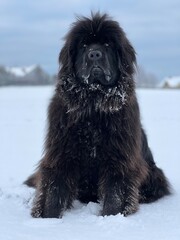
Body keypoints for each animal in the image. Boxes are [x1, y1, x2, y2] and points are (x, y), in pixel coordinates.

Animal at [25, 12, 170, 218]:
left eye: (107, 45)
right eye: (84, 45)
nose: (94, 54)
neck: (93, 104)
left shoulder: (120, 158)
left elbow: (115, 193)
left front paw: (112, 217)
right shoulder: (60, 153)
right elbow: (54, 190)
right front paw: (48, 218)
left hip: (155, 173)